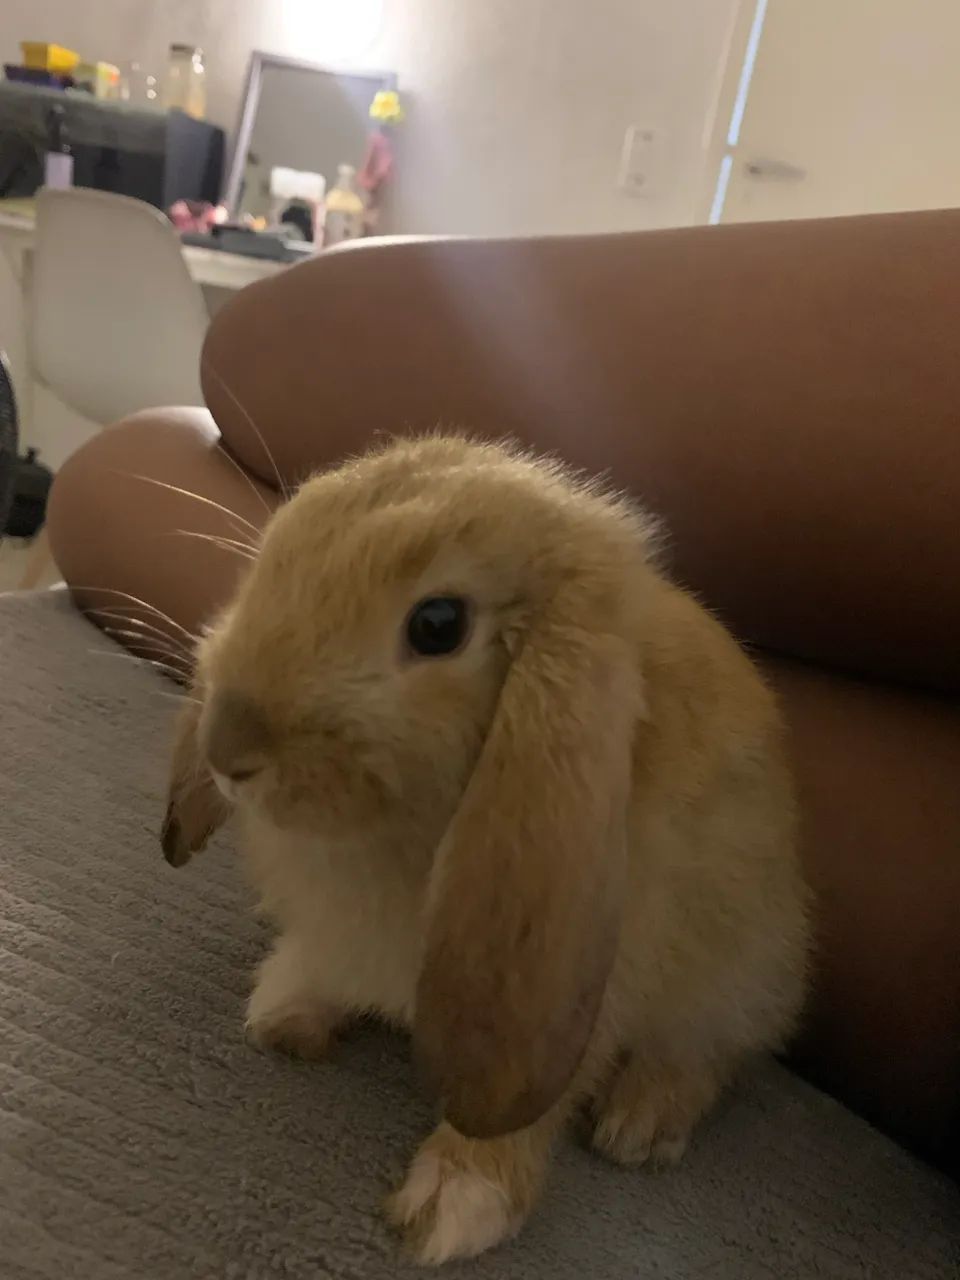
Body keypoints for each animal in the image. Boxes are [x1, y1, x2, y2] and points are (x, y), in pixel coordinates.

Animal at [161, 435, 811, 1266]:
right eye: (279, 551)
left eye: (438, 624)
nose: (226, 746)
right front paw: (283, 1014)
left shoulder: (586, 987)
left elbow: (533, 1107)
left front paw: (456, 1204)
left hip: (737, 976)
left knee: (711, 1049)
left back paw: (641, 1123)